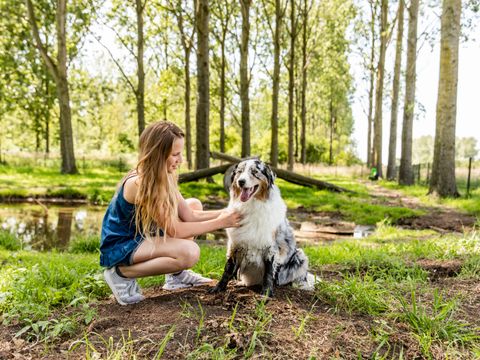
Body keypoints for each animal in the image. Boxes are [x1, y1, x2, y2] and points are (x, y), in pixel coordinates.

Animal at [208, 159, 314, 296]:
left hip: (300, 255)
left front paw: (266, 292)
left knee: (301, 276)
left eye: (254, 172)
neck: (252, 205)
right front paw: (219, 287)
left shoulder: (270, 247)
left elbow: (268, 272)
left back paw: (300, 284)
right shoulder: (235, 244)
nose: (240, 182)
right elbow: (228, 268)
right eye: (240, 172)